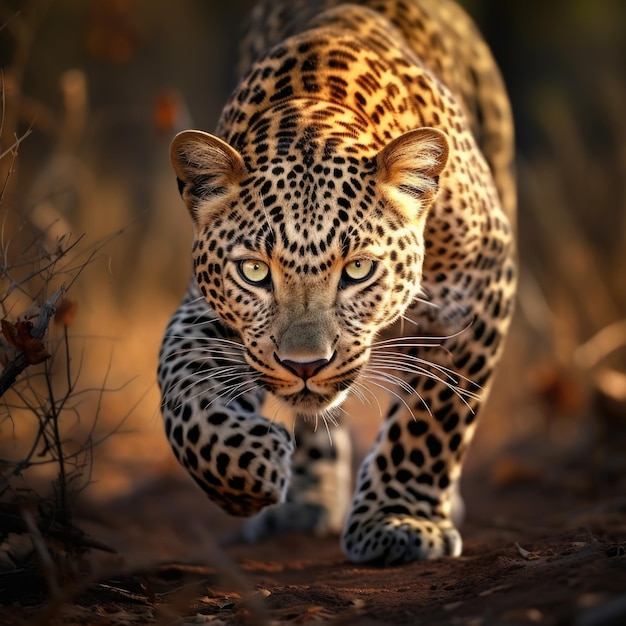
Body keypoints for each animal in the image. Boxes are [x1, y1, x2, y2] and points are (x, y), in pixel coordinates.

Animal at [158, 0, 516, 564]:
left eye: (358, 269)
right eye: (254, 271)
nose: (305, 366)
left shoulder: (481, 282)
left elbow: (434, 416)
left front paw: (399, 521)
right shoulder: (210, 306)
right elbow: (181, 380)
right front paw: (244, 470)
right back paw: (305, 500)